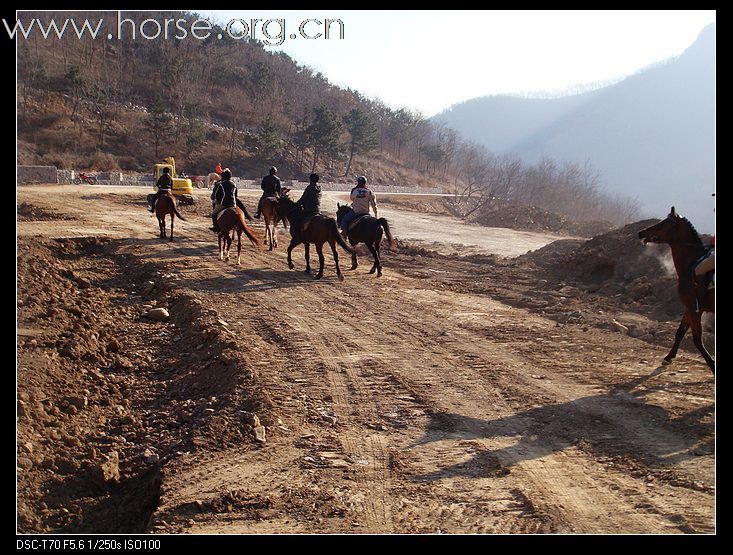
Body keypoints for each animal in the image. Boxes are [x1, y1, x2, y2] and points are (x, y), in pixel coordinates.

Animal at [636, 207, 712, 374]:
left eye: (664, 223)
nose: (641, 233)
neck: (691, 265)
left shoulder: (694, 309)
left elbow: (697, 340)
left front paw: (713, 365)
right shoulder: (689, 308)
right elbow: (680, 332)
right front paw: (669, 357)